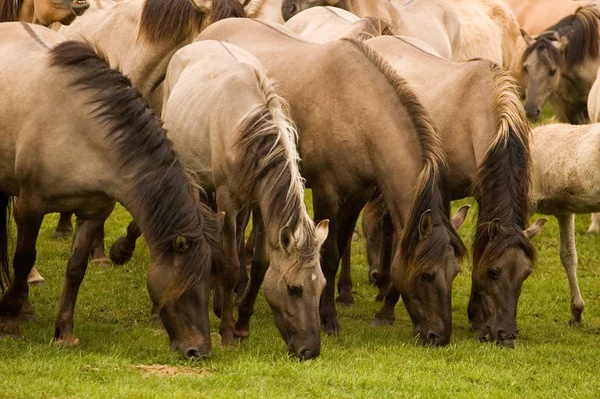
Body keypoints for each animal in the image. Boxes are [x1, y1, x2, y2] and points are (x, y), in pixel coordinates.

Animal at [0, 24, 223, 360]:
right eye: (185, 284)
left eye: (210, 285)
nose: (199, 351)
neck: (78, 129)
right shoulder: (30, 207)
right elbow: (23, 259)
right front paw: (10, 320)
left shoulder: (94, 212)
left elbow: (76, 269)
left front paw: (65, 332)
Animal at [198, 18, 468, 346]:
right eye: (427, 274)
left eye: (454, 273)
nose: (438, 336)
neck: (357, 107)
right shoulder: (326, 191)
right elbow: (327, 256)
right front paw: (327, 318)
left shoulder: (358, 194)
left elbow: (339, 249)